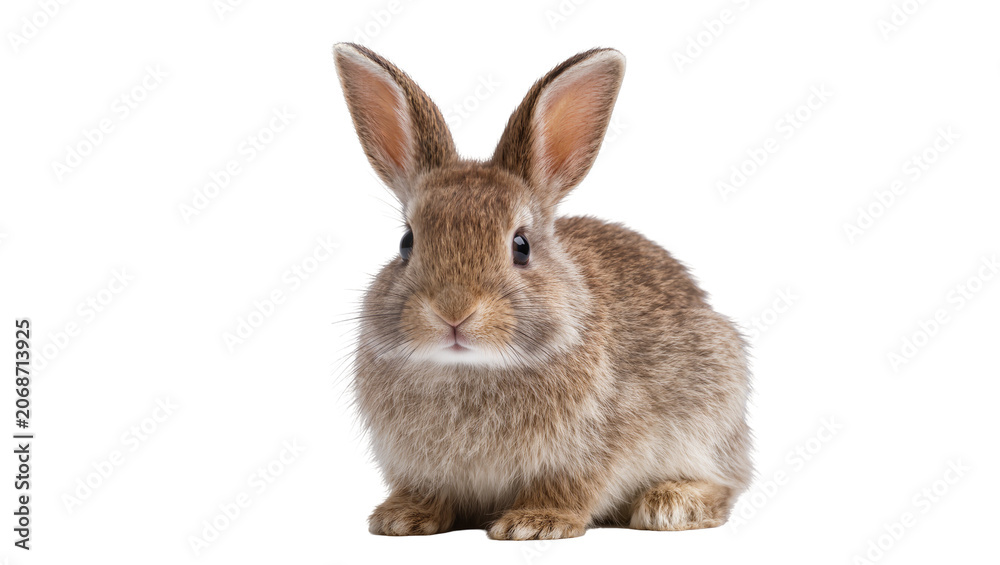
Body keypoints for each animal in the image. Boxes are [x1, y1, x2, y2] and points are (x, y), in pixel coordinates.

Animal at [333, 42, 753, 540]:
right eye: (406, 243)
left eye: (521, 246)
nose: (454, 311)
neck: (471, 369)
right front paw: (401, 518)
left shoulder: (590, 452)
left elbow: (568, 488)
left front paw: (534, 523)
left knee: (726, 485)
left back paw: (671, 504)